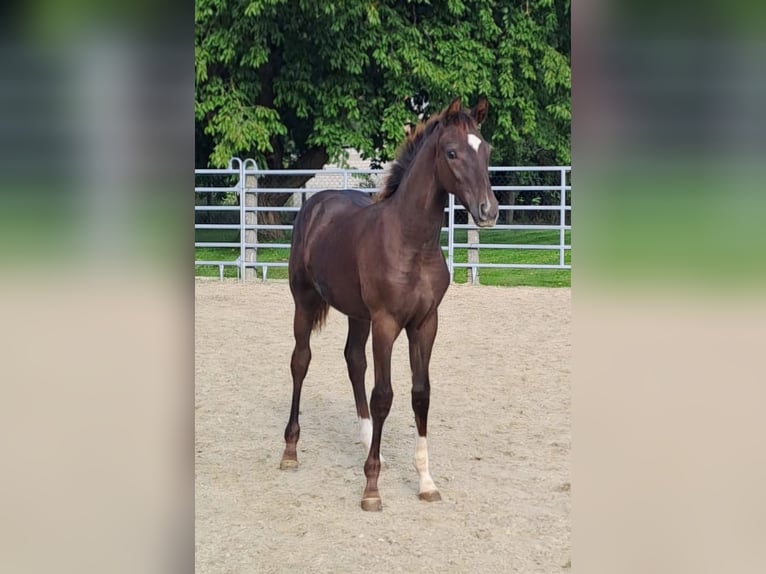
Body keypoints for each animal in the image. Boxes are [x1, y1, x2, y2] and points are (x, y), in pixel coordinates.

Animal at [280, 95, 500, 512]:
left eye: (487, 150)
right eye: (451, 153)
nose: (488, 211)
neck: (411, 243)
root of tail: (316, 203)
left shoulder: (425, 324)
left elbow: (420, 394)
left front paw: (426, 482)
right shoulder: (386, 323)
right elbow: (383, 395)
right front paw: (371, 488)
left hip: (356, 314)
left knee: (354, 360)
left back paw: (369, 441)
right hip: (303, 301)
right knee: (301, 362)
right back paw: (290, 451)